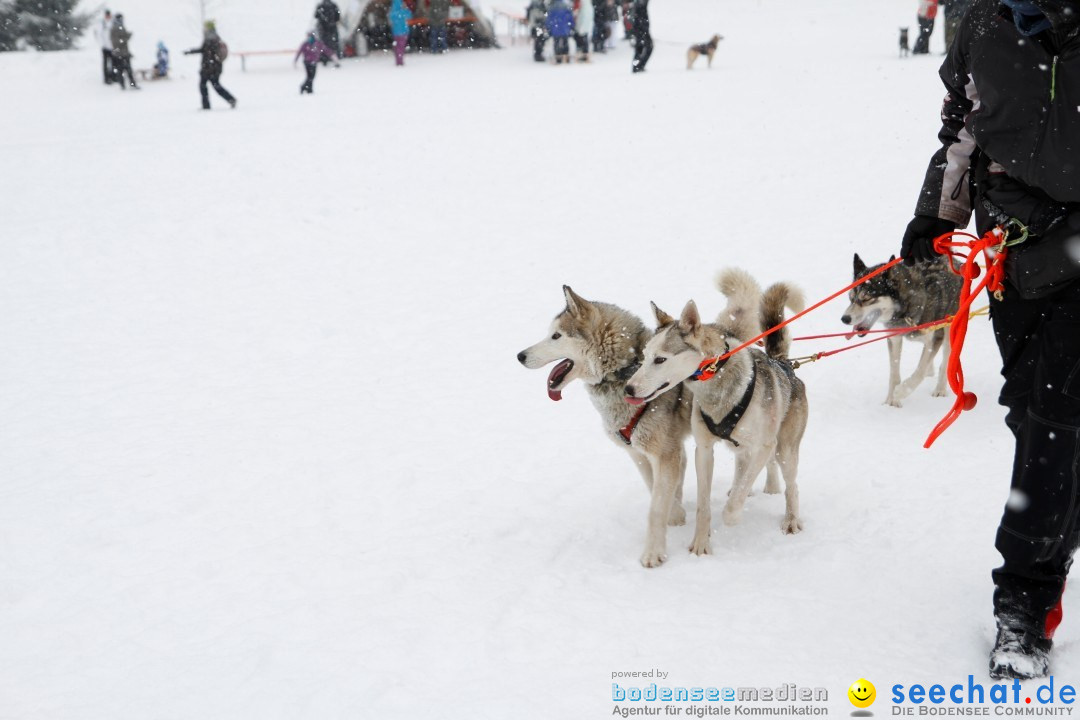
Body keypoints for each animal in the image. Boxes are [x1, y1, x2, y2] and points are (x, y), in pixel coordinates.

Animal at [520, 287, 691, 569]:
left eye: (556, 336)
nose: (520, 355)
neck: (626, 369)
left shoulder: (666, 453)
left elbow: (656, 508)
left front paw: (654, 553)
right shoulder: (639, 454)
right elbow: (656, 490)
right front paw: (676, 516)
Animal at [622, 269, 807, 557]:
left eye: (660, 359)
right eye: (644, 356)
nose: (628, 388)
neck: (715, 379)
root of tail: (784, 364)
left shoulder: (764, 445)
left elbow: (736, 501)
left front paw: (732, 515)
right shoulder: (704, 450)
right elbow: (703, 504)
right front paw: (701, 542)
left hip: (784, 450)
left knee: (791, 485)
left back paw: (790, 520)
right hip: (744, 448)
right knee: (745, 469)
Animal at [838, 255, 959, 408]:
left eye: (867, 298)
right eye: (851, 298)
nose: (844, 319)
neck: (905, 310)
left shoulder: (934, 337)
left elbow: (920, 371)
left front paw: (901, 392)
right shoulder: (894, 338)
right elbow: (894, 374)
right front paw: (891, 401)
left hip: (949, 329)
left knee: (945, 361)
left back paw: (940, 389)